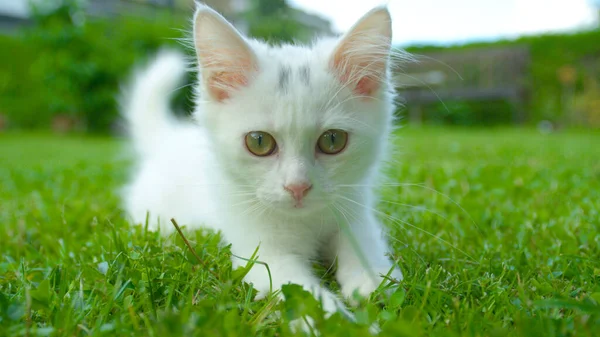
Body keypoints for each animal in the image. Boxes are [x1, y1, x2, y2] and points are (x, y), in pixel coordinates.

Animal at [120, 3, 404, 316]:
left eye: (333, 140)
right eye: (259, 142)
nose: (298, 187)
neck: (304, 221)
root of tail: (169, 137)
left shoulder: (356, 213)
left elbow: (362, 248)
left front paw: (370, 281)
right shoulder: (261, 252)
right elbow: (302, 292)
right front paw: (334, 318)